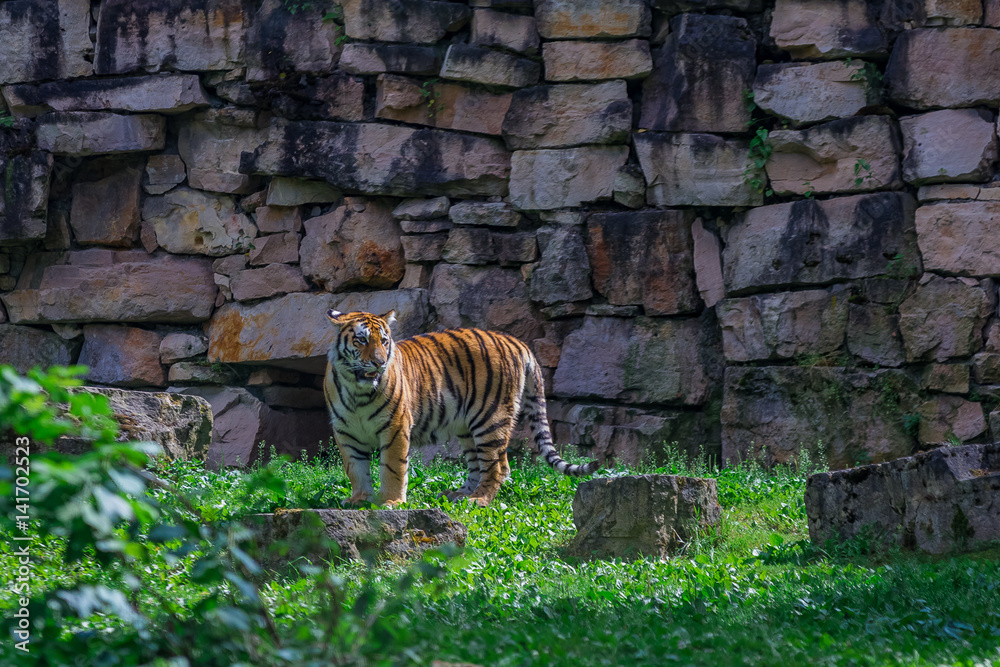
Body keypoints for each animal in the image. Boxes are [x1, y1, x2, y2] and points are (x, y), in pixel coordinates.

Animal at [324, 308, 596, 506]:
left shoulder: (396, 426)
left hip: (490, 419)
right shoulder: (345, 431)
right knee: (478, 465)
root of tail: (515, 341)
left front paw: (391, 502)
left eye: (384, 341)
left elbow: (392, 467)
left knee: (499, 466)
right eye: (361, 340)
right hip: (468, 427)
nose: (379, 363)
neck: (357, 391)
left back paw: (479, 500)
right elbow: (356, 468)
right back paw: (459, 495)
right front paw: (360, 499)